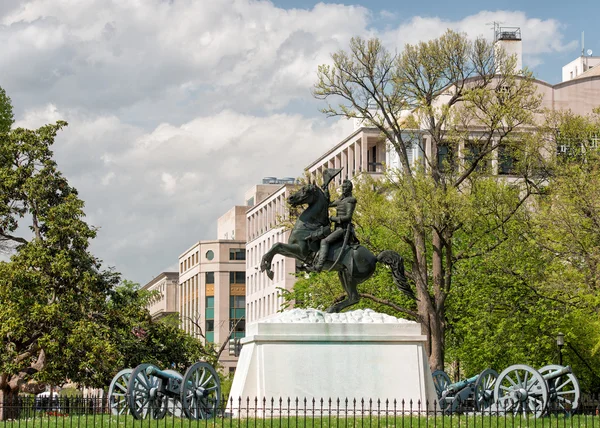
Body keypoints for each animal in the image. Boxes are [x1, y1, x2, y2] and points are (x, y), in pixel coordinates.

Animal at [260, 182, 414, 312]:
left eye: (305, 190)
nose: (291, 198)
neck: (310, 225)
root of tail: (375, 257)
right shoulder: (295, 252)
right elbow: (275, 247)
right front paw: (265, 267)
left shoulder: (300, 251)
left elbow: (276, 245)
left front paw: (267, 269)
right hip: (342, 274)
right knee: (353, 297)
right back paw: (333, 308)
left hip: (350, 276)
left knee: (355, 297)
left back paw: (332, 308)